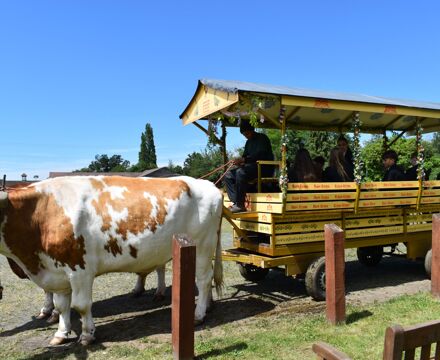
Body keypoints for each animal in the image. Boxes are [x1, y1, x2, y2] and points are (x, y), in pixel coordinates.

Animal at [0, 176, 222, 346]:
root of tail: (209, 184)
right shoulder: (57, 271)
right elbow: (62, 305)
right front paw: (61, 334)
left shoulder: (80, 270)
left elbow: (81, 305)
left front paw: (87, 335)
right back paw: (208, 306)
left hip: (203, 245)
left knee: (203, 280)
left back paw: (198, 314)